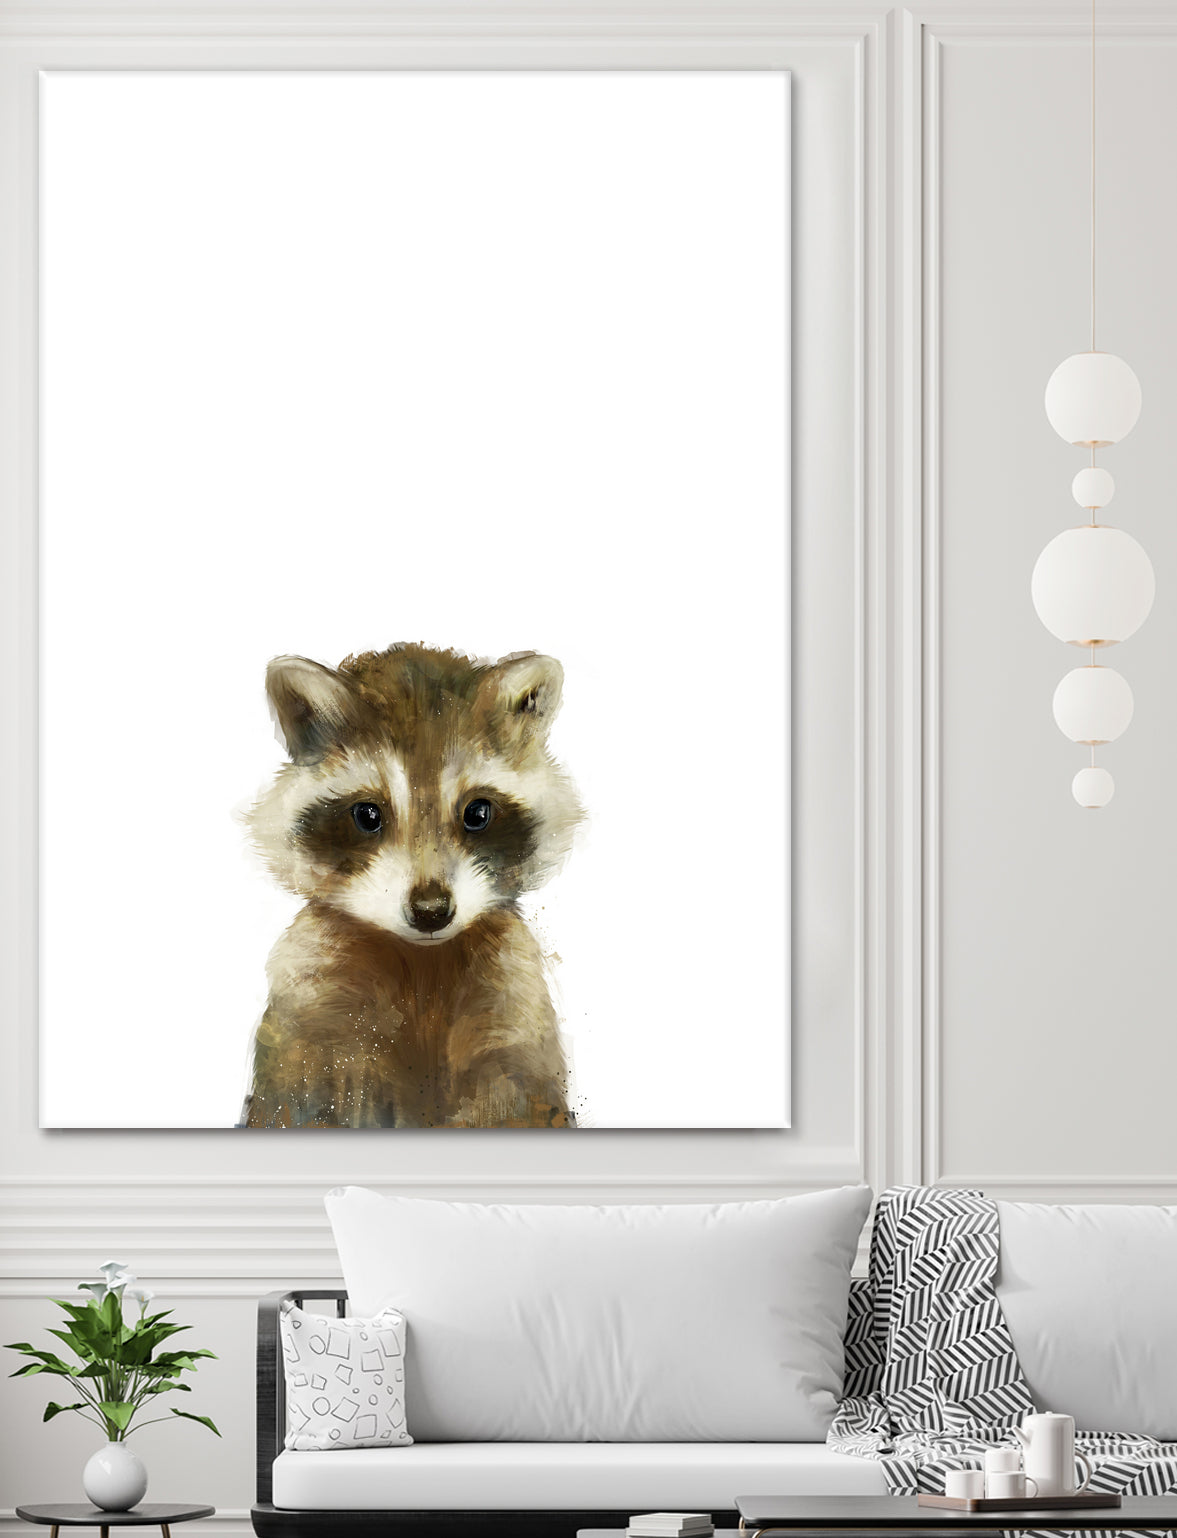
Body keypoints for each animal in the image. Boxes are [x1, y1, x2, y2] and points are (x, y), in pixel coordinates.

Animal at [240, 643, 583, 1129]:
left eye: (478, 813)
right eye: (368, 815)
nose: (431, 910)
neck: (423, 963)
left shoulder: (513, 1006)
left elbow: (516, 1098)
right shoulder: (312, 1009)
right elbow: (303, 1100)